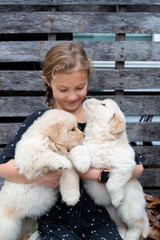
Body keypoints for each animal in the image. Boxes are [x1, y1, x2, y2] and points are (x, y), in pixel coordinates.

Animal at [0, 109, 85, 240]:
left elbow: (70, 176)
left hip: (26, 224)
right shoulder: (28, 157)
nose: (84, 135)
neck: (50, 142)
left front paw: (71, 197)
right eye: (72, 129)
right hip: (8, 227)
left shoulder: (68, 166)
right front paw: (61, 160)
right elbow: (45, 155)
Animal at [81, 98, 150, 240]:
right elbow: (80, 150)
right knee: (121, 225)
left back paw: (129, 236)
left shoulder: (125, 164)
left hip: (129, 211)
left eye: (103, 104)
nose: (87, 98)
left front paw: (117, 199)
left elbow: (112, 184)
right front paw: (81, 164)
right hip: (113, 214)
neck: (101, 138)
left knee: (137, 226)